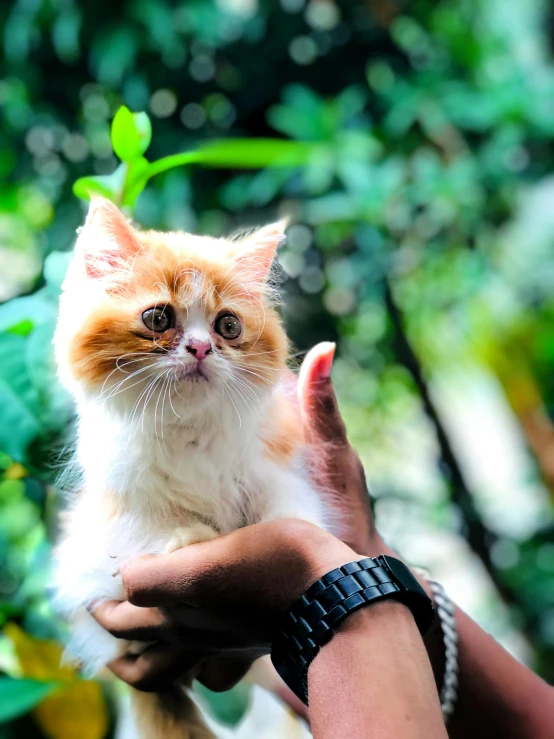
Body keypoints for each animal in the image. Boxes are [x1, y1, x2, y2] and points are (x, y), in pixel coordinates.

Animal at [51, 198, 328, 739]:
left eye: (228, 326)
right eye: (158, 318)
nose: (200, 348)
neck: (188, 425)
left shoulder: (275, 459)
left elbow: (287, 503)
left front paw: (294, 529)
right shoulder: (121, 500)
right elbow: (150, 527)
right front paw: (188, 540)